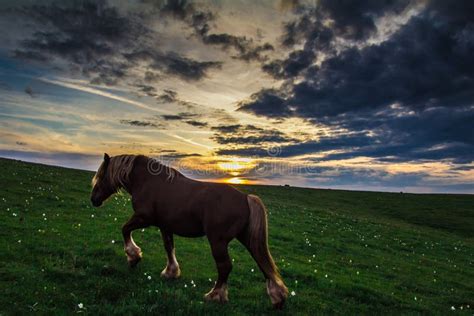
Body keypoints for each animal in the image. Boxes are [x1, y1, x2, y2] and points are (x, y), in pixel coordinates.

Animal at [90, 153, 286, 308]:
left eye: (101, 176)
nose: (93, 199)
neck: (147, 181)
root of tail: (246, 198)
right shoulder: (165, 226)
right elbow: (169, 247)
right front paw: (171, 272)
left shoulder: (144, 218)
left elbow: (124, 229)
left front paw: (133, 257)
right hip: (246, 238)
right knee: (263, 263)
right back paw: (278, 297)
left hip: (218, 241)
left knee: (225, 266)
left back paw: (215, 295)